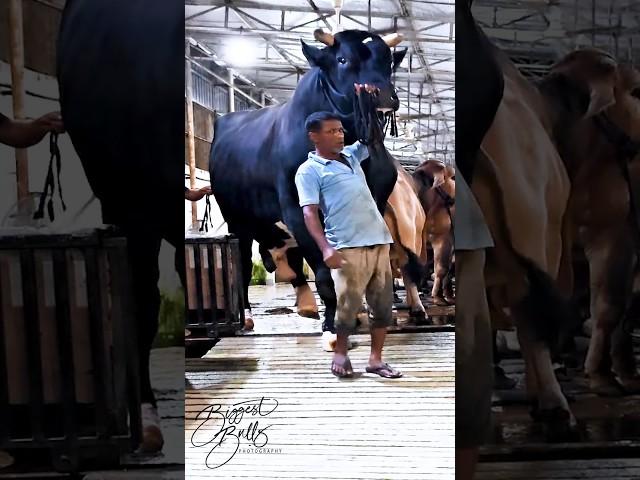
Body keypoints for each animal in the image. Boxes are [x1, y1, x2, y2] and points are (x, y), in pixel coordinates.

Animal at [212, 28, 408, 332]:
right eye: (342, 59)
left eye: (388, 61)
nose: (385, 95)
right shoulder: (298, 209)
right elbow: (325, 270)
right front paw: (333, 319)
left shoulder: (372, 204)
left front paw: (358, 312)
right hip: (237, 220)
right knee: (242, 263)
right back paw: (248, 316)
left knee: (290, 258)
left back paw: (305, 303)